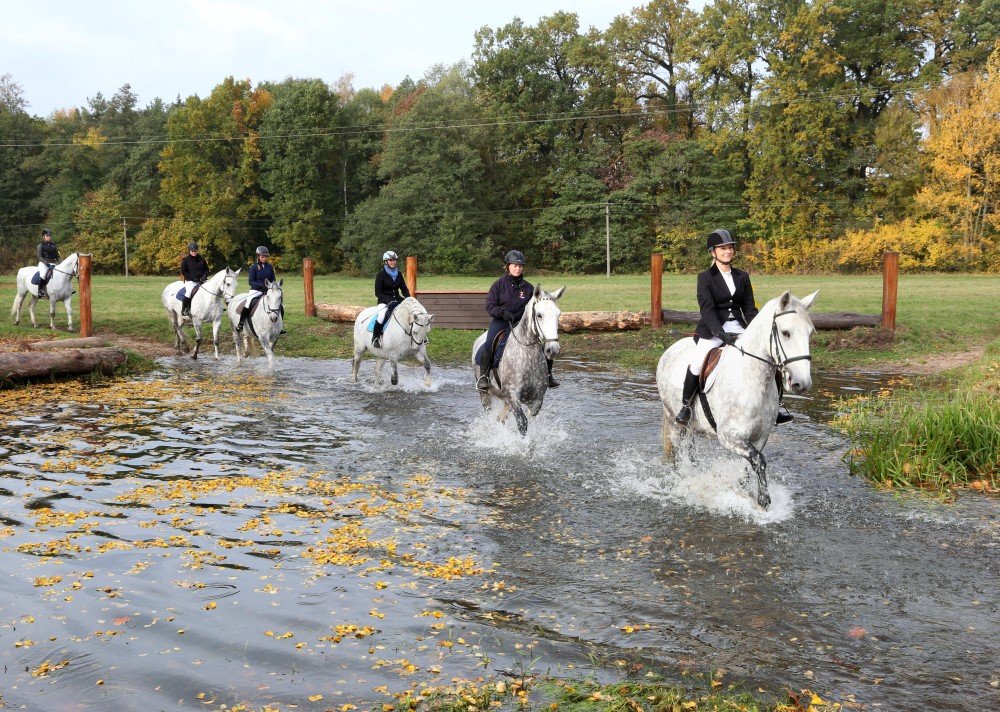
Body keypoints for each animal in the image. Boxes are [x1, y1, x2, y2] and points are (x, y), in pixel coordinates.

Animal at [471, 284, 565, 435]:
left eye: (558, 314)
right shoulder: (512, 394)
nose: (553, 349)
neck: (527, 356)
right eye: (539, 315)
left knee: (502, 417)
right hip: (484, 393)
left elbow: (530, 416)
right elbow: (522, 423)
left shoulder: (537, 398)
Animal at [656, 290, 819, 509]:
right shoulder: (729, 437)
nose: (802, 383)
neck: (752, 380)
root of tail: (670, 349)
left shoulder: (759, 438)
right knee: (676, 452)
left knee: (690, 449)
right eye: (786, 333)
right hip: (674, 421)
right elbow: (759, 461)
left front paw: (743, 492)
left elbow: (748, 467)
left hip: (690, 427)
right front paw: (763, 501)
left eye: (809, 333)